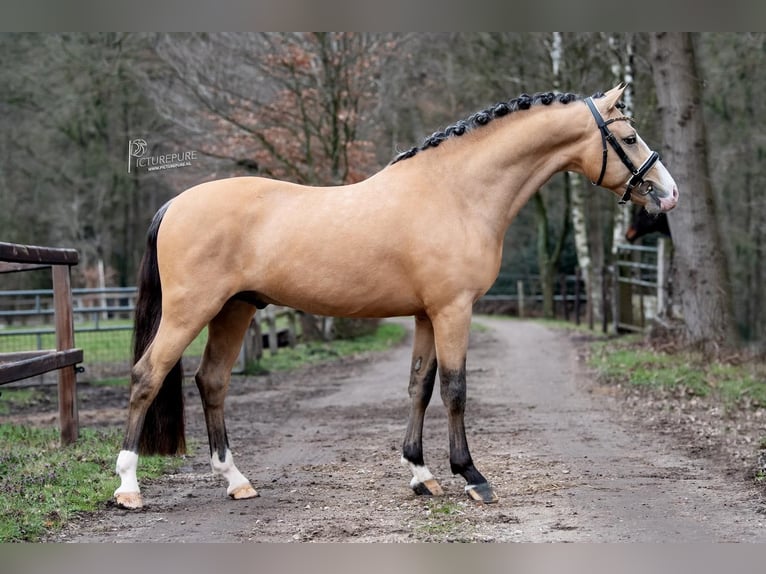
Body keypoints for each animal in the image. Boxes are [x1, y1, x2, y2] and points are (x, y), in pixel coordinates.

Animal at [112, 83, 680, 510]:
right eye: (629, 136)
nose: (669, 194)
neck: (456, 193)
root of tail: (174, 204)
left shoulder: (427, 315)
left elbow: (419, 388)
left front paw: (421, 474)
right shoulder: (453, 310)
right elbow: (455, 389)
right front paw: (472, 477)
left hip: (235, 310)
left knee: (212, 382)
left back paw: (236, 481)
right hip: (191, 310)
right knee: (146, 376)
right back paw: (129, 487)